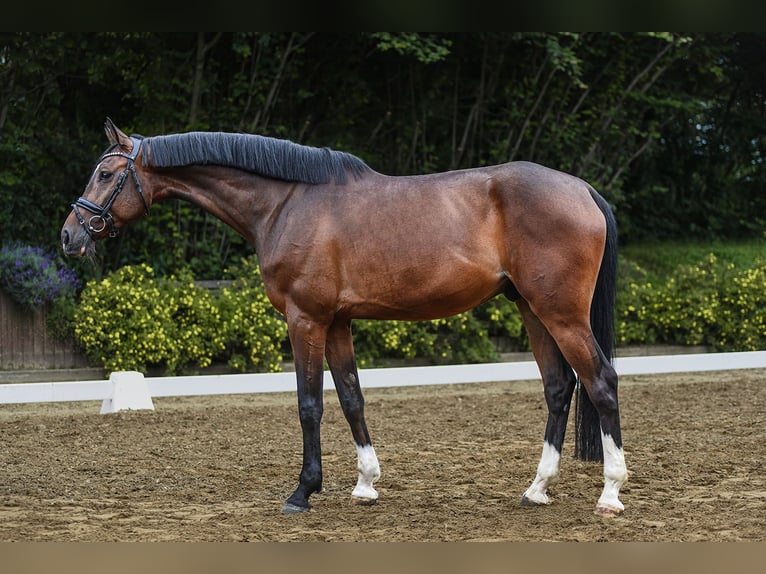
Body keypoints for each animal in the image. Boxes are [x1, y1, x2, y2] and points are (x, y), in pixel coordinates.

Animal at [57, 117, 628, 516]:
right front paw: (365, 484)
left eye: (105, 173)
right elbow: (352, 396)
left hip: (561, 314)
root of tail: (582, 189)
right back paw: (537, 489)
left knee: (600, 381)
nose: (70, 235)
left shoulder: (304, 320)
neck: (286, 203)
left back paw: (611, 493)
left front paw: (302, 492)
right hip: (532, 309)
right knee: (559, 387)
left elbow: (310, 404)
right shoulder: (336, 322)